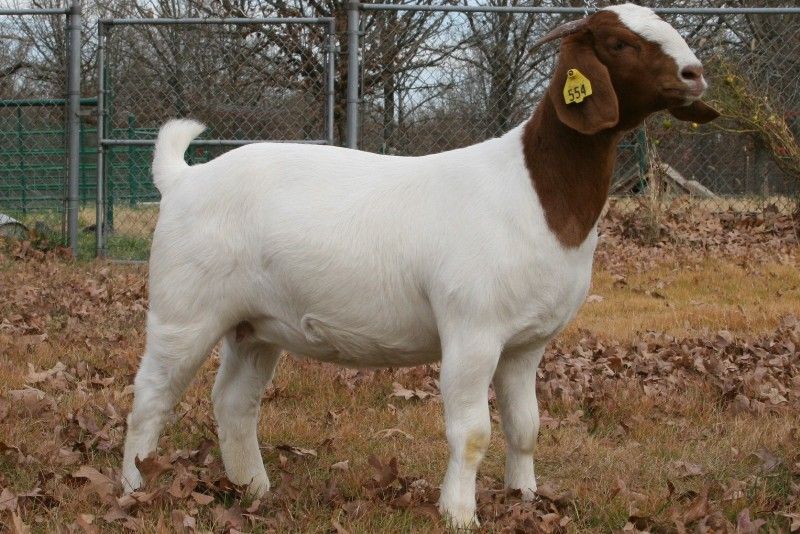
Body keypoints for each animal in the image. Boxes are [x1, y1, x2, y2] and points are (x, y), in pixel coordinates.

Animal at [121, 3, 719, 527]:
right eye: (618, 43)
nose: (694, 74)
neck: (536, 193)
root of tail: (184, 178)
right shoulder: (472, 332)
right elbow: (472, 432)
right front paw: (460, 514)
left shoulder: (527, 343)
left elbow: (525, 426)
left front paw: (524, 497)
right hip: (184, 310)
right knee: (149, 398)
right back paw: (135, 486)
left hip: (255, 325)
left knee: (234, 403)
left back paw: (254, 490)